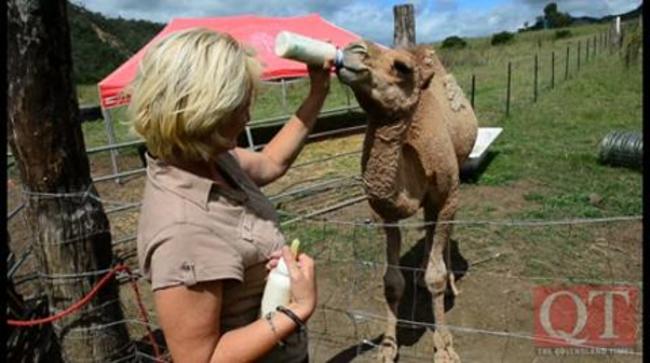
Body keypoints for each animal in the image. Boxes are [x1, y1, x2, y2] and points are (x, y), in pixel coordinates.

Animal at [336, 41, 478, 362]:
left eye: (401, 67)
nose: (353, 48)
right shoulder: (384, 211)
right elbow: (391, 281)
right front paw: (388, 347)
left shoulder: (449, 191)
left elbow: (436, 276)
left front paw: (445, 347)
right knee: (429, 222)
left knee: (444, 229)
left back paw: (450, 285)